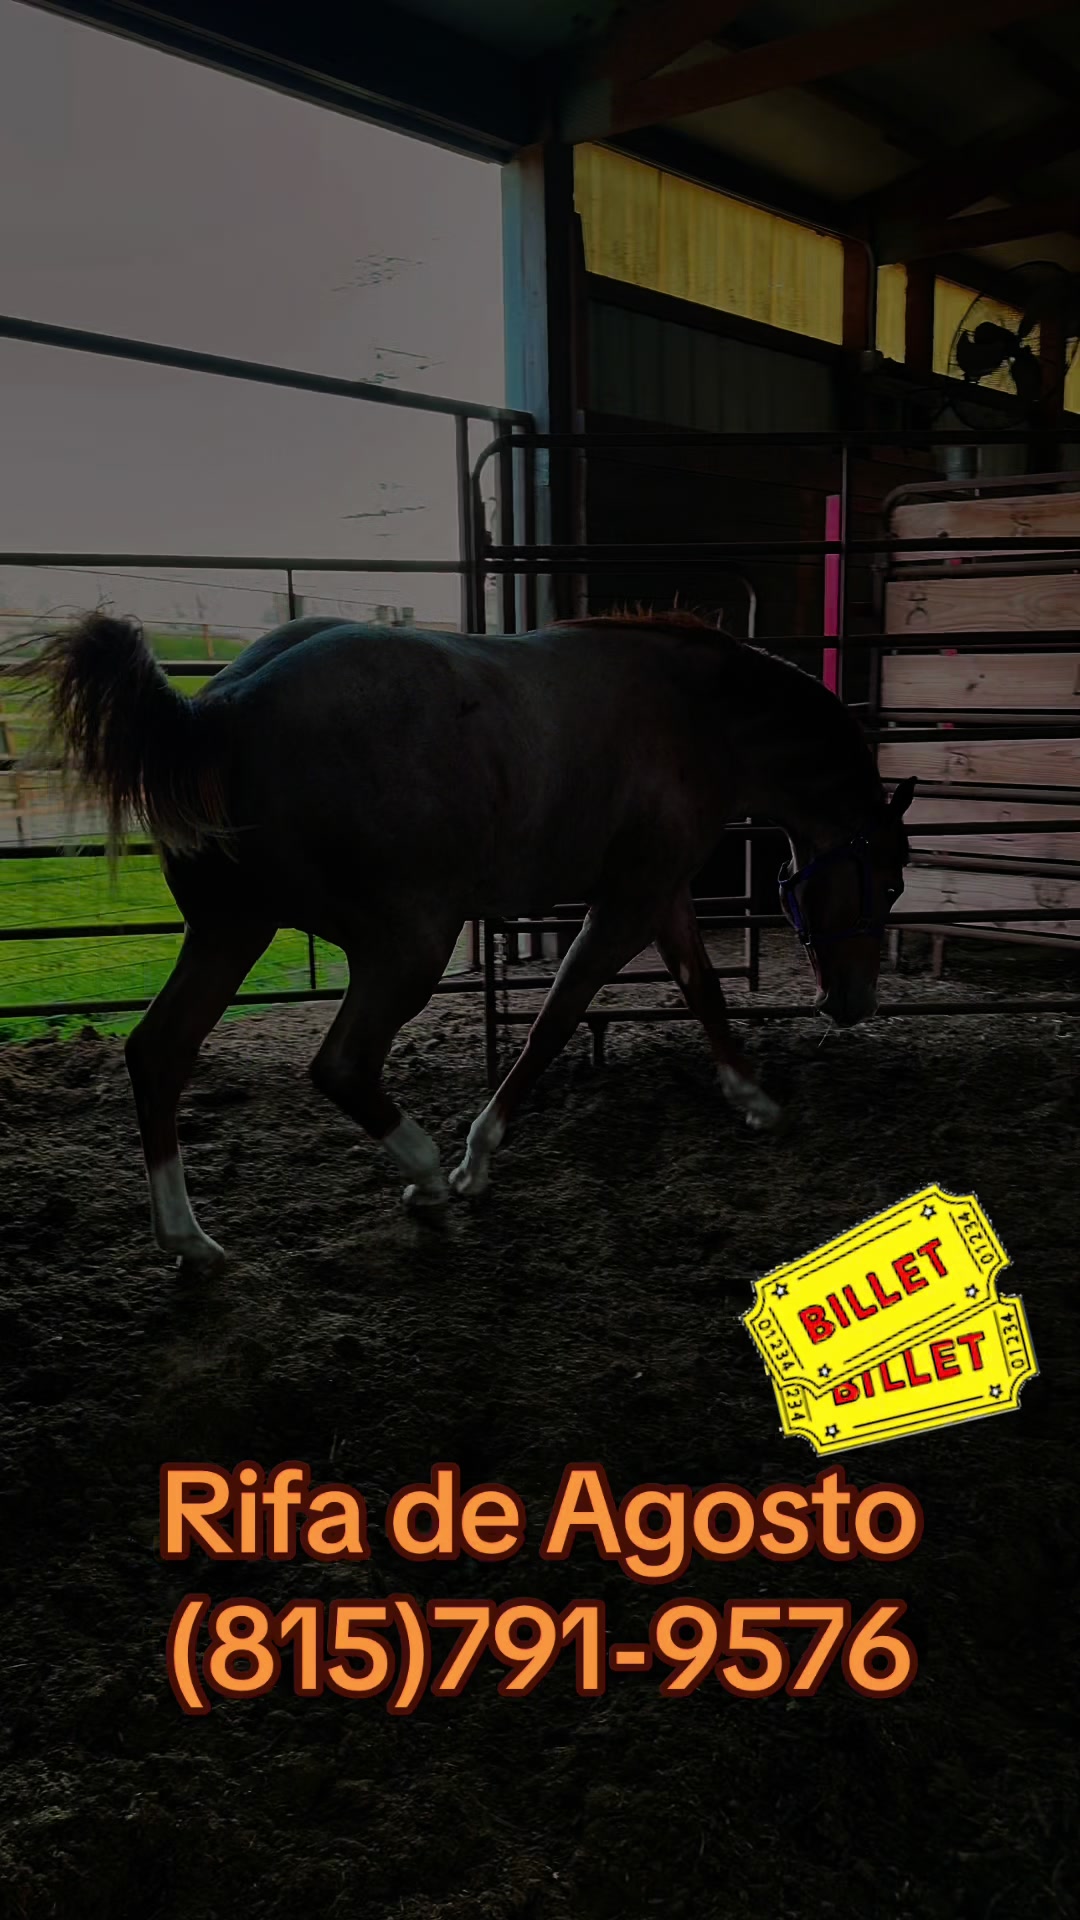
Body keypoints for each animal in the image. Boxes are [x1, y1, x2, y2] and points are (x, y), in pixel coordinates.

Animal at [11, 608, 914, 1275]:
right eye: (891, 881)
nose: (852, 1004)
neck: (695, 716)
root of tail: (217, 711)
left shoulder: (659, 895)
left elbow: (705, 991)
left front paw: (755, 1100)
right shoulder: (623, 906)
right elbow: (554, 1024)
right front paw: (473, 1165)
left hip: (232, 931)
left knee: (159, 1054)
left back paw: (192, 1243)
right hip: (407, 944)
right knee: (340, 1064)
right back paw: (423, 1176)